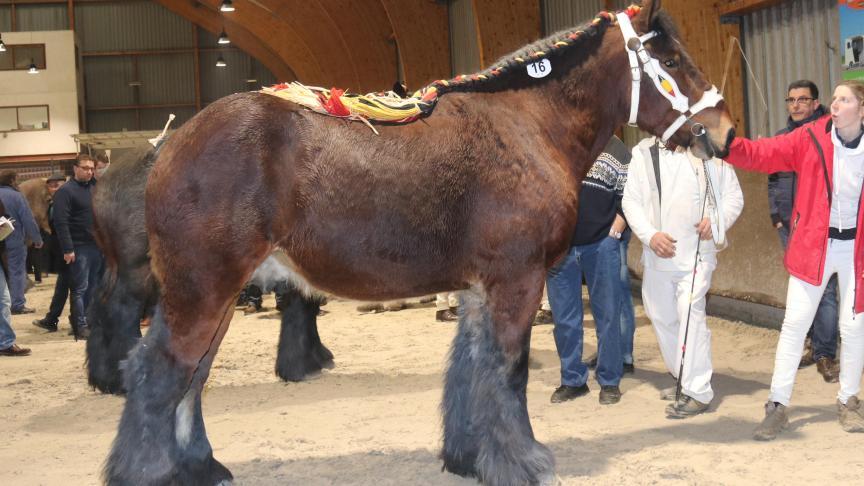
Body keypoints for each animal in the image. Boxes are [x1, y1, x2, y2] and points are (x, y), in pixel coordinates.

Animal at [104, 1, 732, 484]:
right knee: (158, 373)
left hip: (216, 296)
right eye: (671, 61)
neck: (526, 126)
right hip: (202, 291)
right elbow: (510, 372)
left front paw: (468, 457)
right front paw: (521, 462)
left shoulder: (480, 290)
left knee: (191, 379)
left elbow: (470, 370)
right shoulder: (518, 281)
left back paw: (200, 467)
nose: (725, 133)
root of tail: (170, 145)